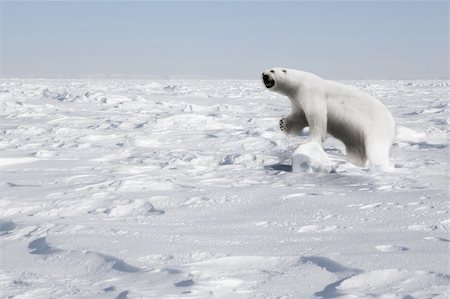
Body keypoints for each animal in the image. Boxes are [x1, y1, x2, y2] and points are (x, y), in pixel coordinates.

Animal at [262, 67, 396, 169]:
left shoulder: (311, 93)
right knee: (356, 150)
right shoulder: (298, 101)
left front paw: (310, 141)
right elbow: (298, 117)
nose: (264, 75)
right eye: (264, 72)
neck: (298, 83)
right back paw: (353, 164)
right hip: (356, 136)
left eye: (272, 70)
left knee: (376, 148)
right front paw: (282, 123)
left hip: (377, 126)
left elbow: (317, 118)